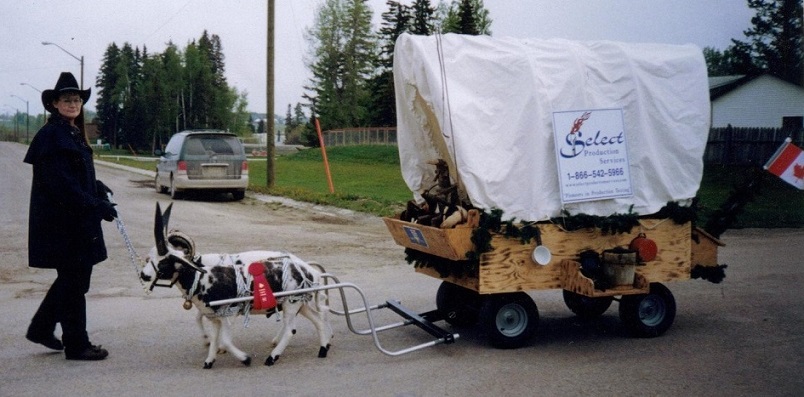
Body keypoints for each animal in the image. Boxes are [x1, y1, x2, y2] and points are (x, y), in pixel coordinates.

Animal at [141, 203, 332, 366]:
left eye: (164, 262)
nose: (143, 275)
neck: (202, 275)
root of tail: (310, 271)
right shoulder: (214, 315)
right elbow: (211, 330)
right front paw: (210, 357)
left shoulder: (228, 313)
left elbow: (224, 339)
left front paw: (243, 358)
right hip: (300, 303)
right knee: (318, 319)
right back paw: (323, 348)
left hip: (291, 302)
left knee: (291, 329)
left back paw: (272, 357)